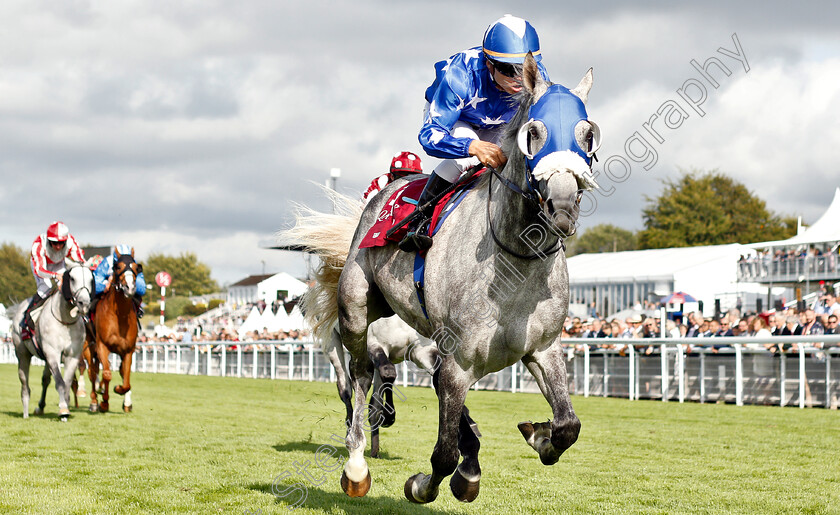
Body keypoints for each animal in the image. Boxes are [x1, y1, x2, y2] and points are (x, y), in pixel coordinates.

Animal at [9, 260, 94, 422]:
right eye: (72, 278)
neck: (65, 321)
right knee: (24, 383)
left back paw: (40, 407)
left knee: (45, 379)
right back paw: (25, 412)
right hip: (22, 354)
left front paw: (65, 406)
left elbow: (66, 383)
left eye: (91, 279)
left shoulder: (72, 356)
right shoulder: (52, 353)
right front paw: (63, 410)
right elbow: (60, 382)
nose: (84, 303)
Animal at [84, 248, 141, 414]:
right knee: (92, 371)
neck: (119, 315)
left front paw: (122, 394)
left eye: (136, 268)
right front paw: (104, 402)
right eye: (118, 267)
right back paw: (94, 401)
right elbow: (107, 374)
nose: (130, 288)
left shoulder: (128, 350)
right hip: (88, 346)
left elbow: (126, 379)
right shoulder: (102, 345)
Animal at [286, 56, 600, 504]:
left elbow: (568, 425)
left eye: (587, 134)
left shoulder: (542, 348)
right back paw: (356, 463)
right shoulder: (458, 362)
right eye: (533, 133)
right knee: (359, 376)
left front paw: (538, 436)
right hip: (355, 313)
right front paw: (425, 484)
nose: (562, 209)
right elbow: (443, 453)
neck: (514, 265)